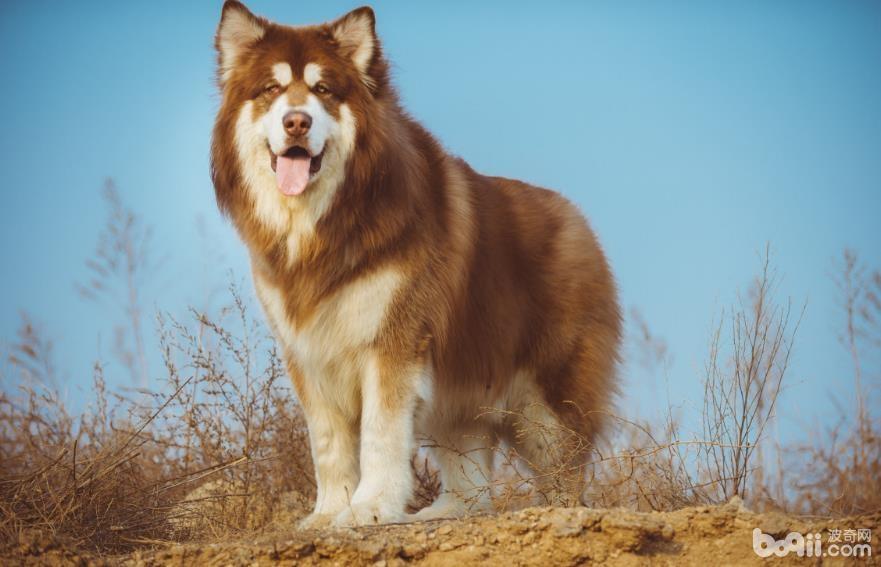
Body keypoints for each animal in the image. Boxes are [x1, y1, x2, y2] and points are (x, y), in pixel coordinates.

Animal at [210, 2, 624, 532]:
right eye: (271, 90)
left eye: (324, 90)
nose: (297, 122)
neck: (326, 225)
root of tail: (578, 221)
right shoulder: (308, 353)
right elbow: (328, 443)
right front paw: (328, 512)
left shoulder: (394, 343)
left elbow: (381, 435)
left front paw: (370, 508)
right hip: (463, 380)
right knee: (469, 468)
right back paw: (445, 510)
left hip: (547, 397)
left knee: (563, 461)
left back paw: (556, 508)